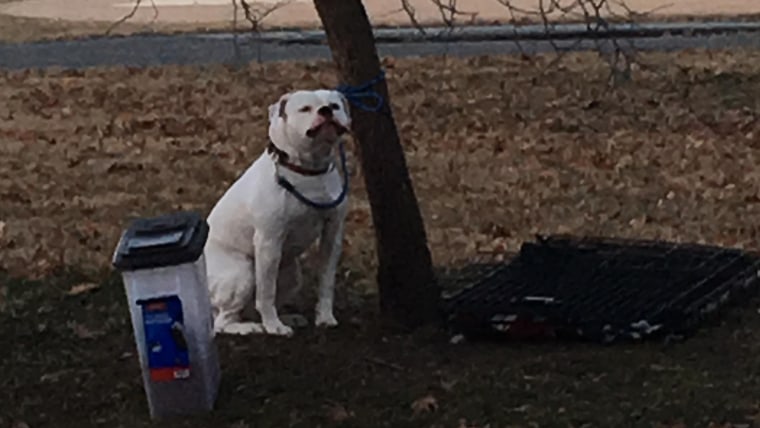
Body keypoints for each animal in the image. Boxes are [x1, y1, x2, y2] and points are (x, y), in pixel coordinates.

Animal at [205, 90, 354, 336]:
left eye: (334, 106)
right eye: (305, 109)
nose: (326, 111)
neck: (308, 170)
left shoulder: (332, 234)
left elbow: (326, 280)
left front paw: (324, 316)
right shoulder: (269, 240)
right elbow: (266, 292)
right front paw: (274, 327)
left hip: (292, 274)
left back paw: (284, 317)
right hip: (242, 272)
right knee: (221, 322)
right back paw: (250, 327)